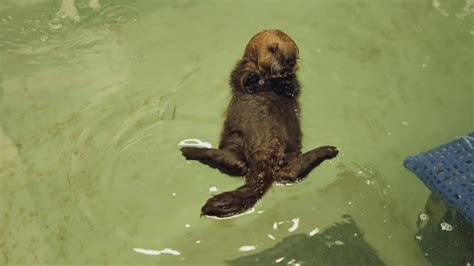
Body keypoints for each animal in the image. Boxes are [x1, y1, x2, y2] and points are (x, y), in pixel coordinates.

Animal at [180, 29, 338, 217]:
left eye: (294, 49)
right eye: (273, 48)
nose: (290, 59)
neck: (269, 82)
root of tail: (264, 160)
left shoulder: (295, 81)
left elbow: (295, 88)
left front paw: (286, 84)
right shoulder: (238, 70)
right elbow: (239, 79)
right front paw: (252, 78)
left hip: (288, 150)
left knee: (287, 172)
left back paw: (329, 150)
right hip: (235, 139)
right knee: (238, 163)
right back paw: (190, 150)